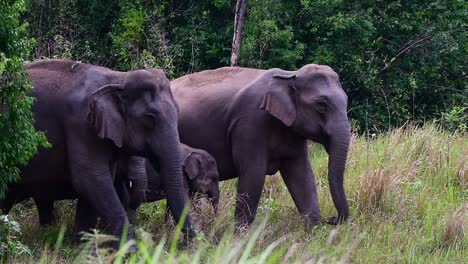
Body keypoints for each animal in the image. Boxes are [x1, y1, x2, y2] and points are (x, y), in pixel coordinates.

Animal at [0, 58, 194, 246]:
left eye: (178, 111)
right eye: (149, 118)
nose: (188, 245)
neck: (117, 78)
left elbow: (94, 186)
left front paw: (81, 248)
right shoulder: (81, 125)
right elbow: (90, 180)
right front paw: (129, 251)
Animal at [172, 64, 352, 227]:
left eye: (346, 101)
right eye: (321, 105)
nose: (332, 219)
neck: (290, 75)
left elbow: (302, 174)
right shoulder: (250, 124)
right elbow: (253, 173)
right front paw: (239, 237)